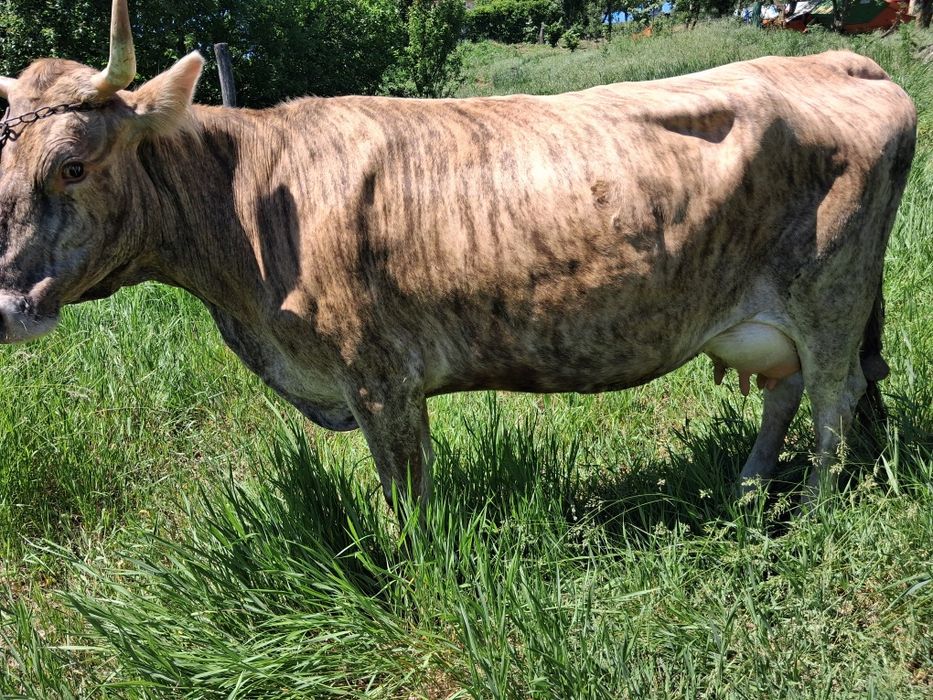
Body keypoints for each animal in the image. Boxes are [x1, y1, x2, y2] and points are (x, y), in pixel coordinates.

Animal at [0, 0, 916, 508]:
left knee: (834, 396)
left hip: (832, 294)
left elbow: (409, 510)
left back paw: (812, 510)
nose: (9, 306)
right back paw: (748, 489)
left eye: (73, 164)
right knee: (785, 390)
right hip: (768, 313)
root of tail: (841, 58)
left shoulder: (381, 379)